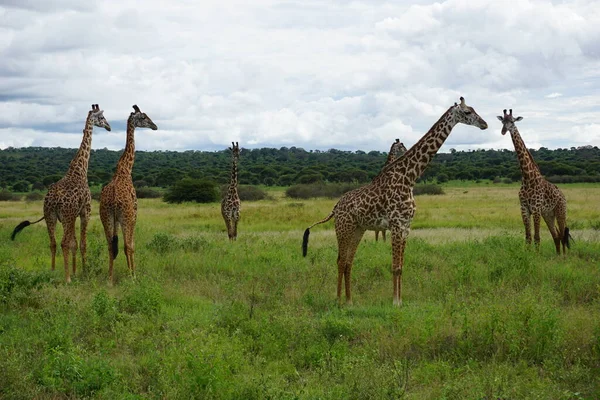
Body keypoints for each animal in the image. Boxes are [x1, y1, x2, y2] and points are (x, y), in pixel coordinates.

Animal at [11, 104, 112, 282]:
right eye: (101, 117)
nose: (109, 126)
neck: (80, 170)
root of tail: (53, 200)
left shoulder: (72, 215)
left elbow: (74, 243)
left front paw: (75, 271)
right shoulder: (85, 211)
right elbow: (82, 243)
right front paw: (84, 272)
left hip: (50, 216)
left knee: (53, 243)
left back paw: (52, 272)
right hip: (65, 216)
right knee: (63, 242)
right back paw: (67, 278)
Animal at [99, 104, 158, 284]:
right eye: (144, 117)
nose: (155, 126)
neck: (125, 169)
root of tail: (112, 200)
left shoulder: (117, 219)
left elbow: (117, 246)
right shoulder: (134, 215)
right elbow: (131, 245)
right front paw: (133, 274)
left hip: (106, 217)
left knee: (110, 246)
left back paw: (109, 279)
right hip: (126, 217)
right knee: (126, 245)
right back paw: (131, 277)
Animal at [304, 98, 488, 304]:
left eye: (473, 109)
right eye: (467, 112)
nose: (484, 124)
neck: (409, 178)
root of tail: (335, 208)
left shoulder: (406, 226)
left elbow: (401, 267)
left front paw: (400, 300)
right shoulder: (396, 224)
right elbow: (395, 267)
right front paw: (395, 301)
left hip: (358, 229)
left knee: (349, 262)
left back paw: (350, 301)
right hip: (344, 228)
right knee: (341, 261)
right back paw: (338, 300)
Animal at [496, 108, 572, 253]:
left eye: (512, 121)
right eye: (503, 121)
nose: (503, 131)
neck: (527, 178)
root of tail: (564, 196)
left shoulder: (536, 209)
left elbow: (537, 238)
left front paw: (536, 256)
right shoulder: (524, 209)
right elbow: (528, 237)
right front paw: (527, 254)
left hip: (561, 212)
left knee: (562, 235)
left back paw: (564, 256)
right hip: (548, 214)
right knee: (556, 235)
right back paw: (558, 256)